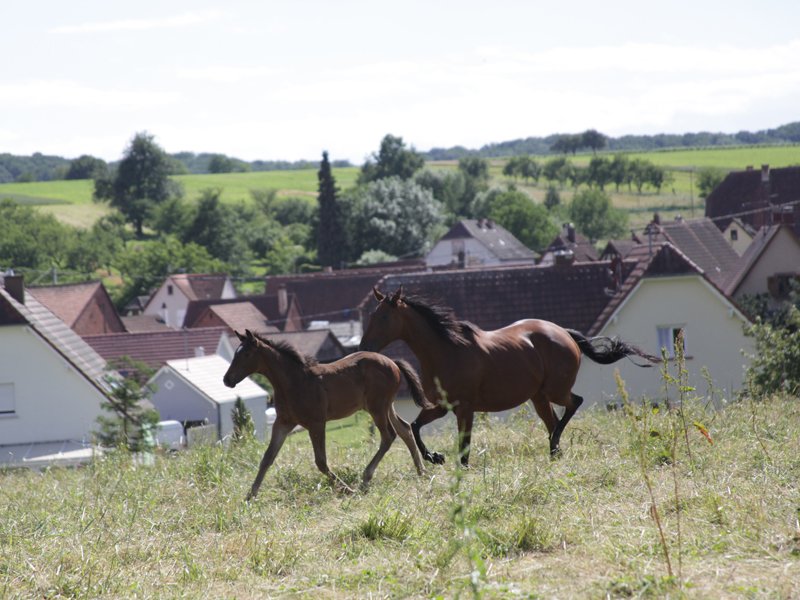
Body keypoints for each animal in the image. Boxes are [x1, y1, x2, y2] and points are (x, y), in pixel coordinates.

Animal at [223, 329, 432, 500]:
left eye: (246, 354)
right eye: (235, 354)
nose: (227, 380)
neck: (294, 381)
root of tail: (392, 362)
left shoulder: (316, 423)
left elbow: (321, 462)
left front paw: (347, 489)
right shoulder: (283, 423)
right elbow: (267, 458)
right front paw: (250, 496)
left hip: (377, 408)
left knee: (389, 436)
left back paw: (366, 478)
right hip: (385, 405)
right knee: (404, 429)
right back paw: (421, 472)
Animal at [359, 287, 659, 466]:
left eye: (384, 318)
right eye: (372, 315)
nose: (364, 346)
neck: (447, 349)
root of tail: (564, 333)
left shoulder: (464, 408)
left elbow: (464, 447)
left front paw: (455, 466)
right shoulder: (442, 407)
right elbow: (416, 426)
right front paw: (435, 456)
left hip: (555, 391)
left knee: (574, 404)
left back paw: (554, 446)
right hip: (539, 397)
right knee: (553, 420)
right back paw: (555, 451)